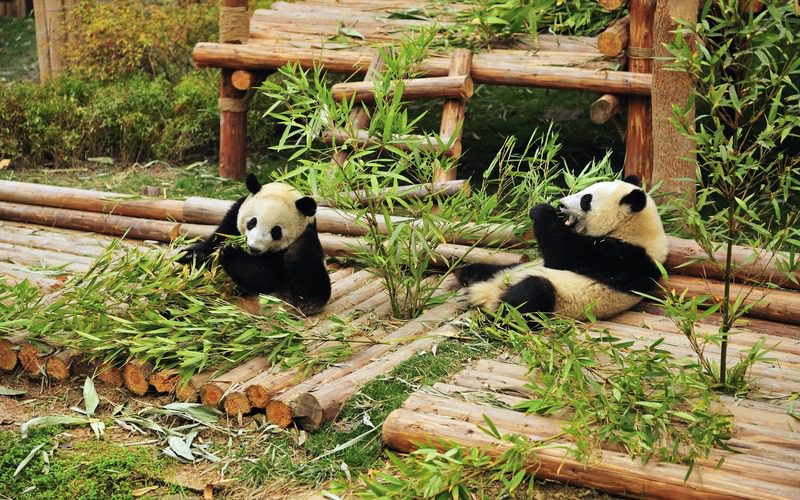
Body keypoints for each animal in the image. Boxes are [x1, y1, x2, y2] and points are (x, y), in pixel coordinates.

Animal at [179, 174, 331, 315]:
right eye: (252, 222)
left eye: (276, 231)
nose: (254, 248)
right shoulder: (233, 217)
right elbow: (217, 239)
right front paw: (192, 256)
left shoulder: (301, 241)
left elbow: (264, 277)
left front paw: (231, 252)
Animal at [455, 175, 668, 321]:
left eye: (586, 200)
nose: (561, 204)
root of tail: (487, 293)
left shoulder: (623, 258)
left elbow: (563, 255)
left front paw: (542, 210)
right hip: (509, 270)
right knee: (482, 269)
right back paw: (466, 275)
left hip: (556, 300)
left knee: (532, 293)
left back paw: (497, 318)